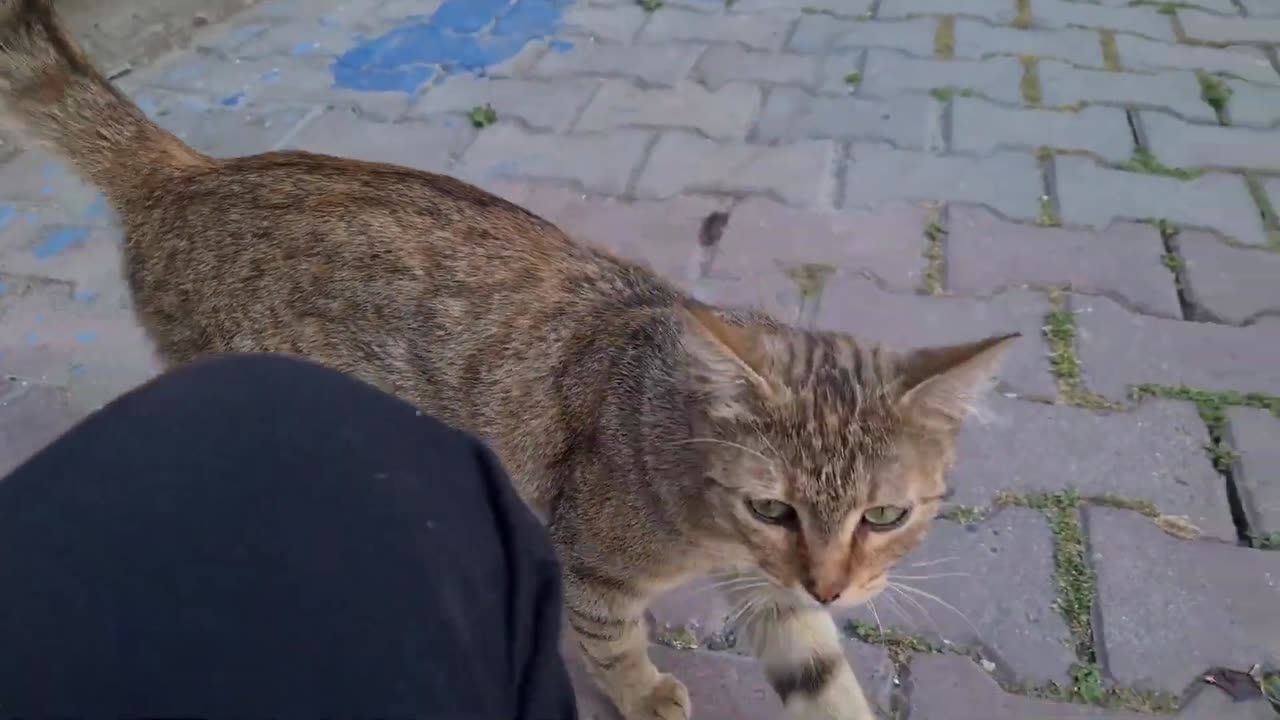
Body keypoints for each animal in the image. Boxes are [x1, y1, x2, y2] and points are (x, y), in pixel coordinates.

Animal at [2, 2, 1018, 712]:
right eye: (773, 506)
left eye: (885, 516)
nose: (834, 583)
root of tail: (193, 173)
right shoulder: (600, 570)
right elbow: (615, 644)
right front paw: (644, 693)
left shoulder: (777, 597)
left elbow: (819, 672)